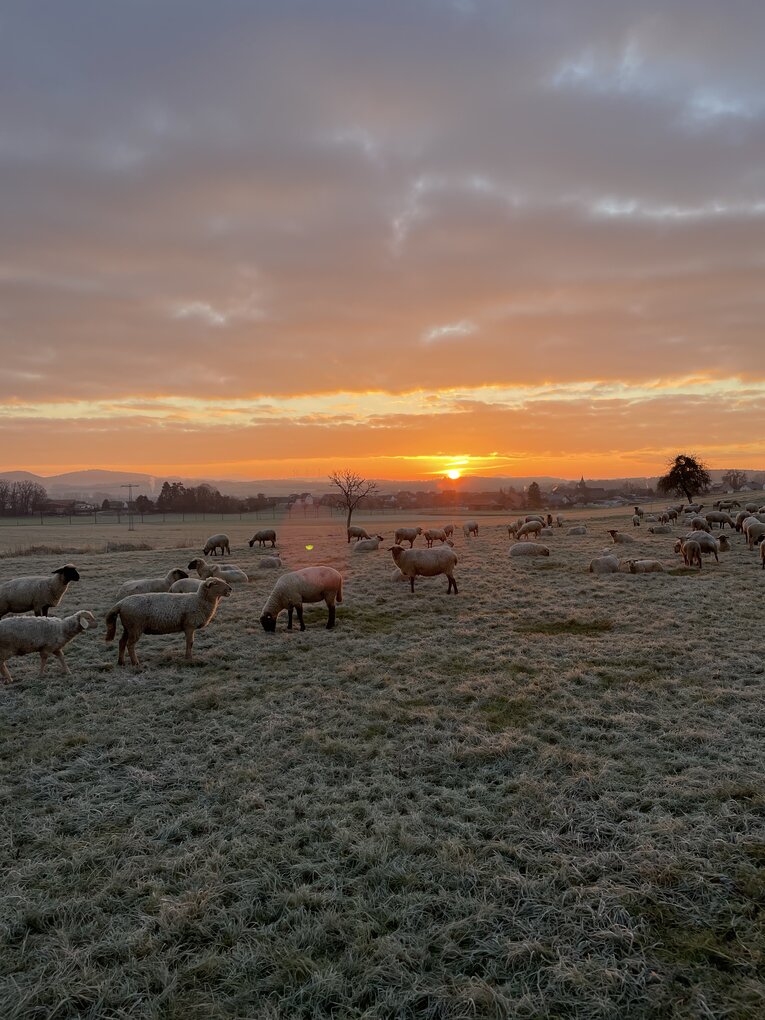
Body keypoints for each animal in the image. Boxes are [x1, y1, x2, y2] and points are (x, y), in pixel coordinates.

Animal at [104, 579, 233, 665]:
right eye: (216, 583)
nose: (230, 589)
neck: (199, 601)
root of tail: (120, 603)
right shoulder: (189, 625)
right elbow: (190, 643)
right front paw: (189, 658)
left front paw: (188, 657)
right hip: (135, 627)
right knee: (130, 645)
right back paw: (136, 663)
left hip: (128, 627)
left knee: (121, 642)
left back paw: (121, 662)